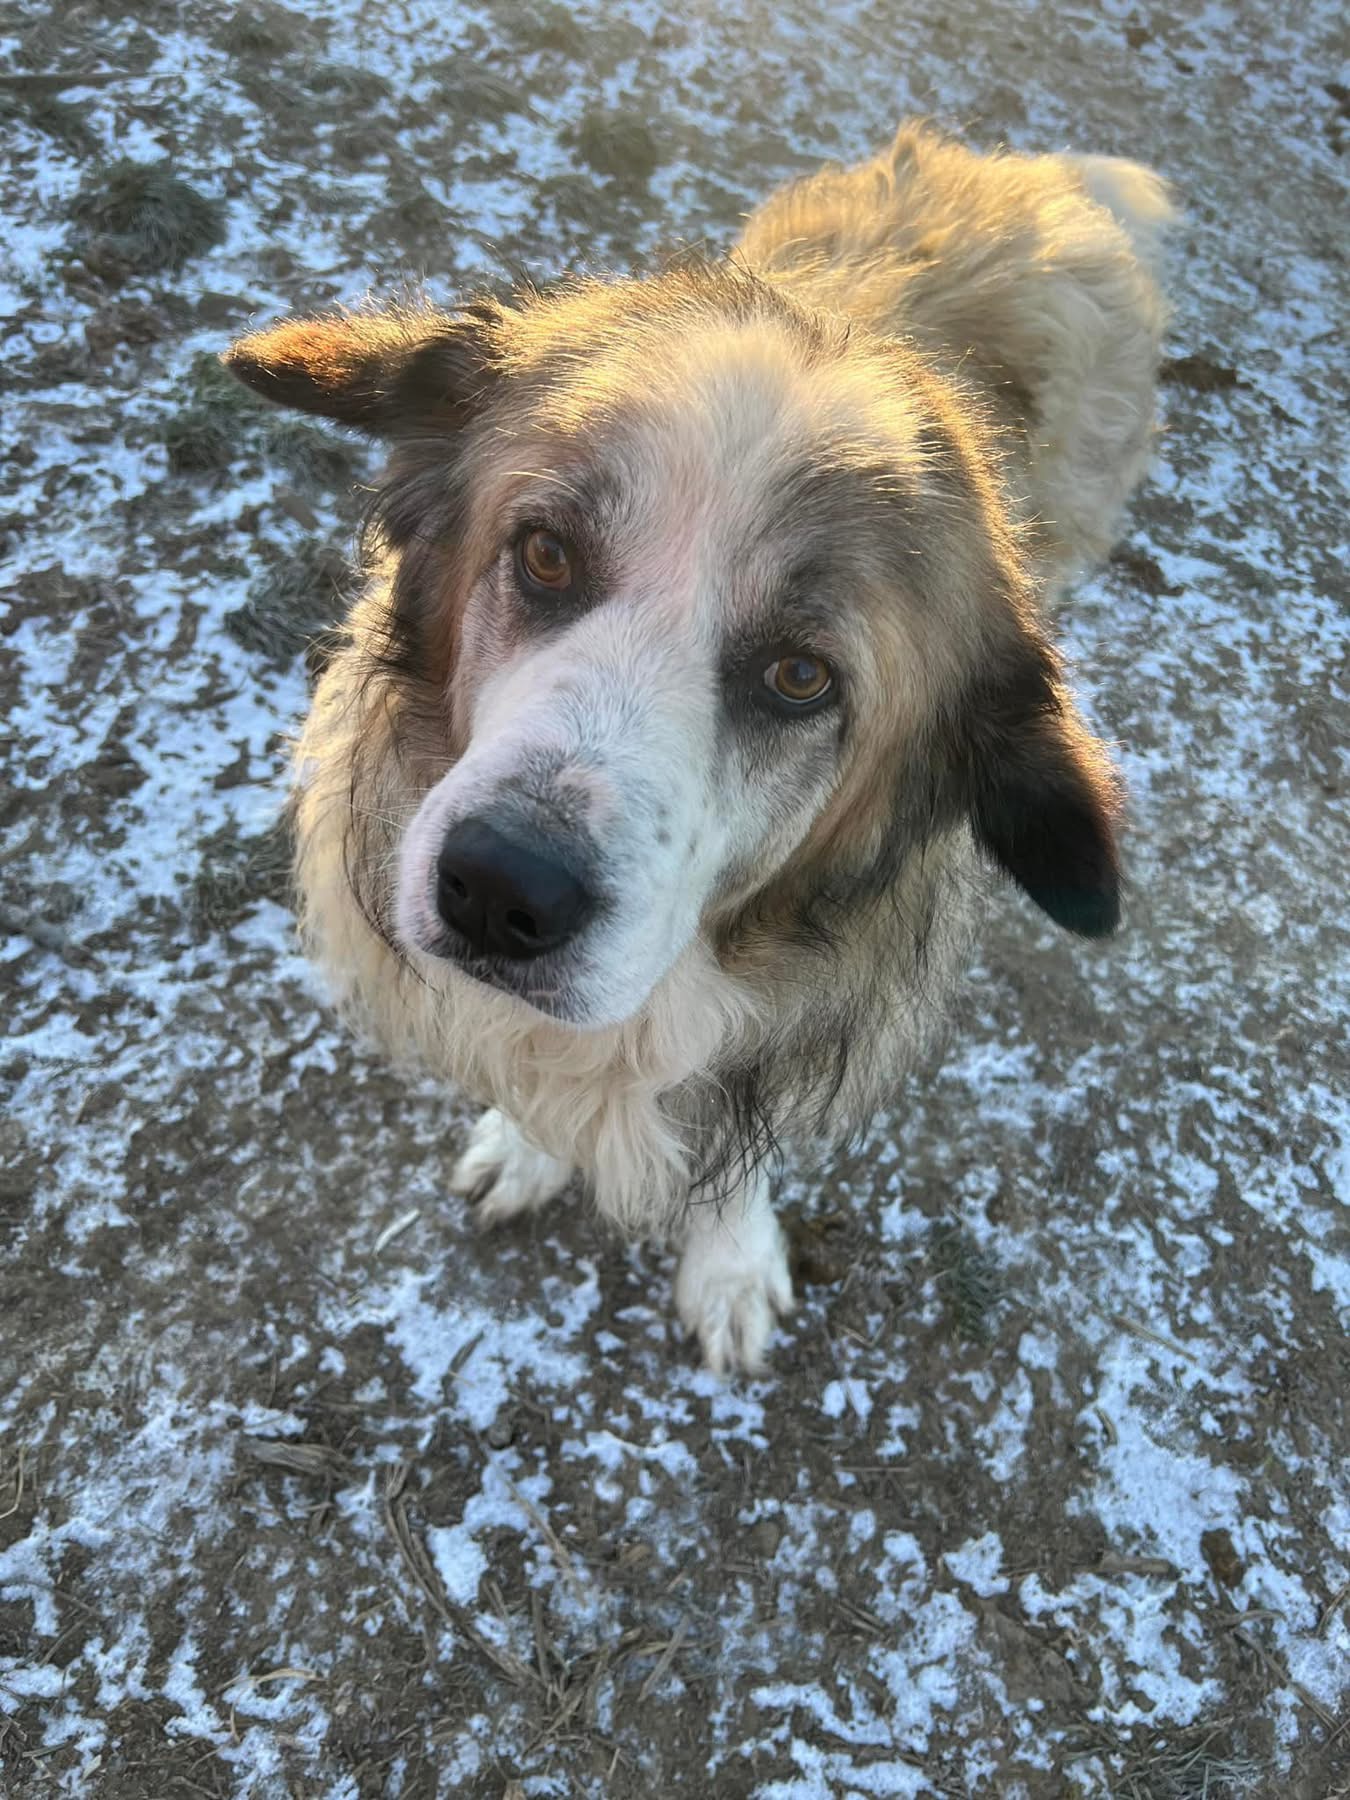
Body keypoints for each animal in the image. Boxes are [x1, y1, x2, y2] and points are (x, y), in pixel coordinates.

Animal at [225, 123, 1172, 1373]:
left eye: (800, 678)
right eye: (546, 554)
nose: (499, 889)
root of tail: (1022, 169)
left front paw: (728, 1264)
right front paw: (528, 1144)